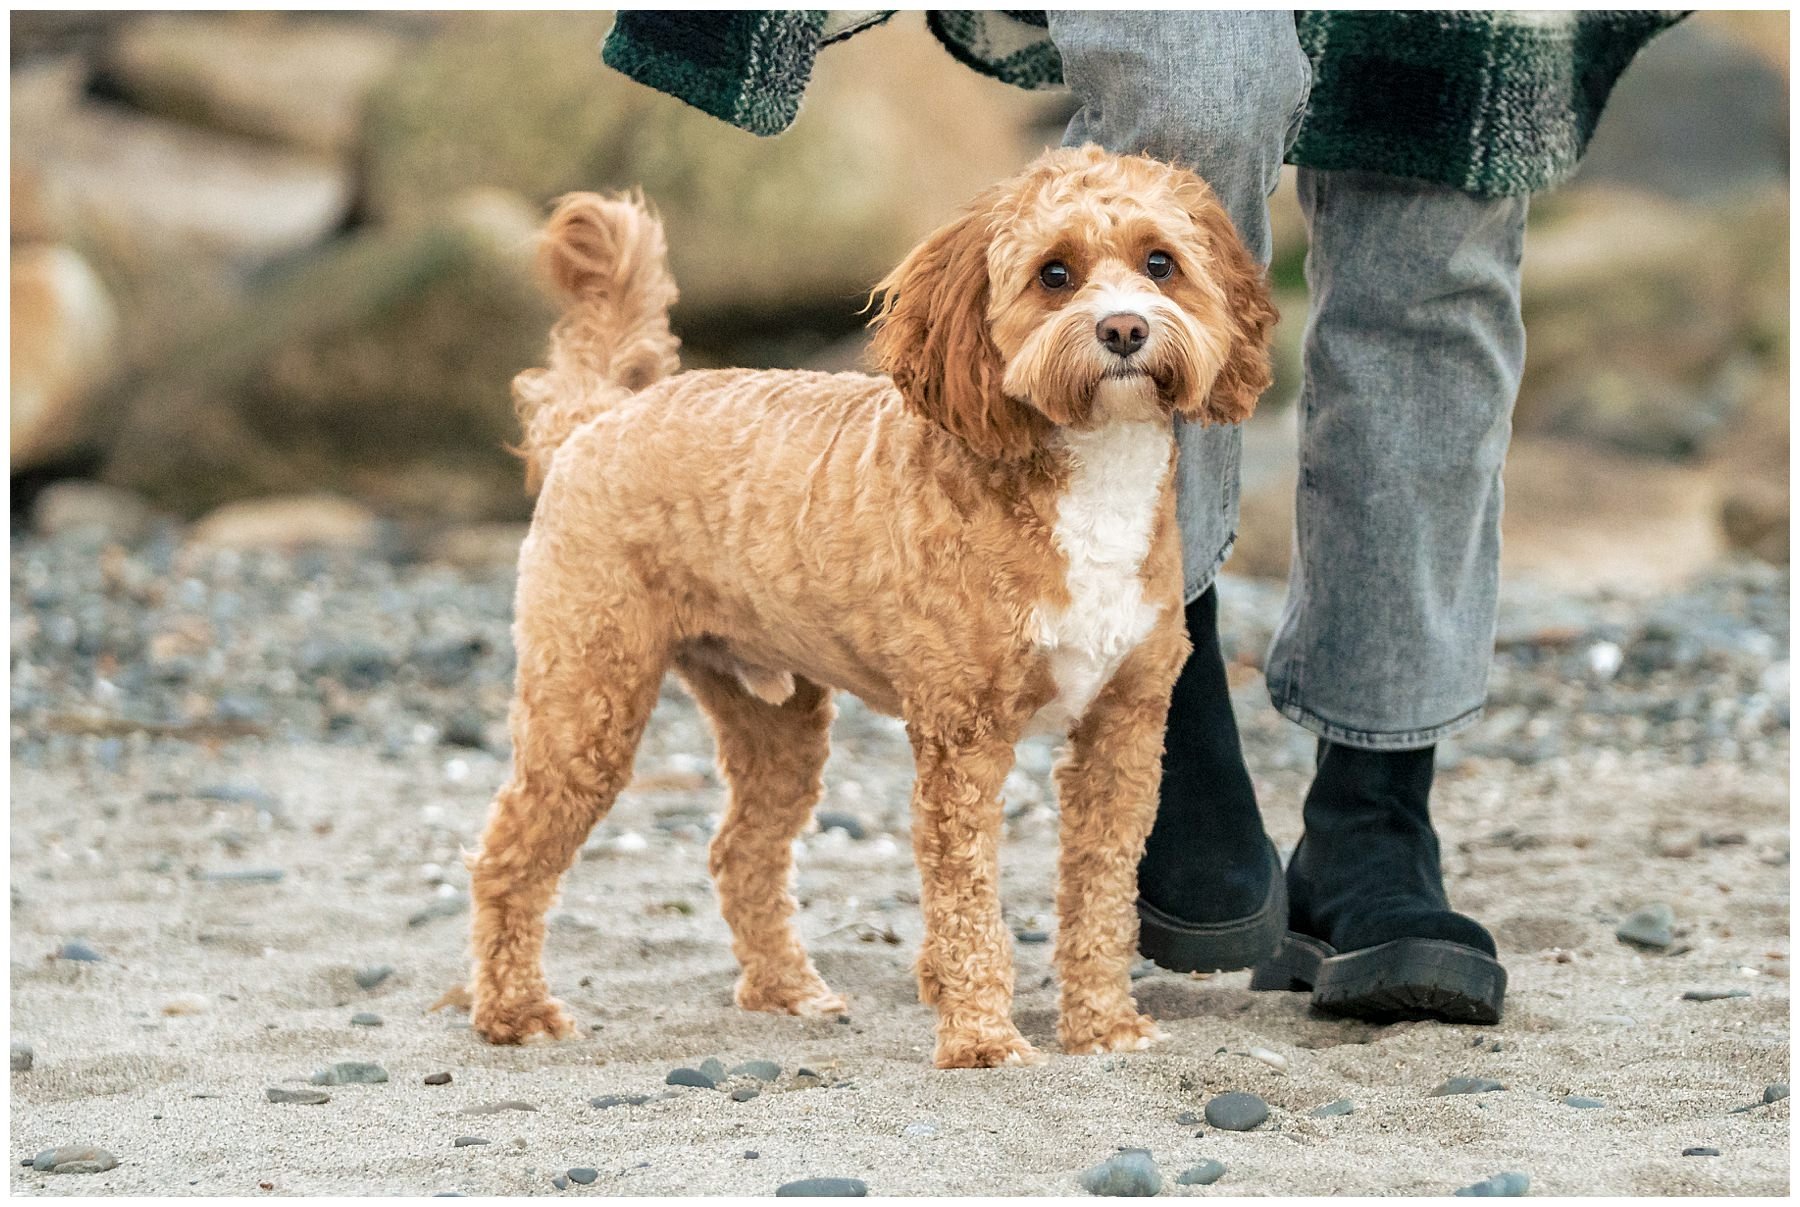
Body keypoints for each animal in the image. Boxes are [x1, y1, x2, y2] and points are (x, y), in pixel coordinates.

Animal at [471, 146, 1274, 1072]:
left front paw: (1104, 1024)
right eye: (1055, 274)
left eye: (1160, 263)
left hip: (774, 722)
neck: (1088, 474)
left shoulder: (1126, 724)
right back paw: (514, 1008)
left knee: (741, 851)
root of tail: (599, 417)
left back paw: (786, 989)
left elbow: (1103, 887)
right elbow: (968, 900)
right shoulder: (964, 736)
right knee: (508, 855)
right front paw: (982, 1037)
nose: (1124, 331)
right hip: (586, 697)